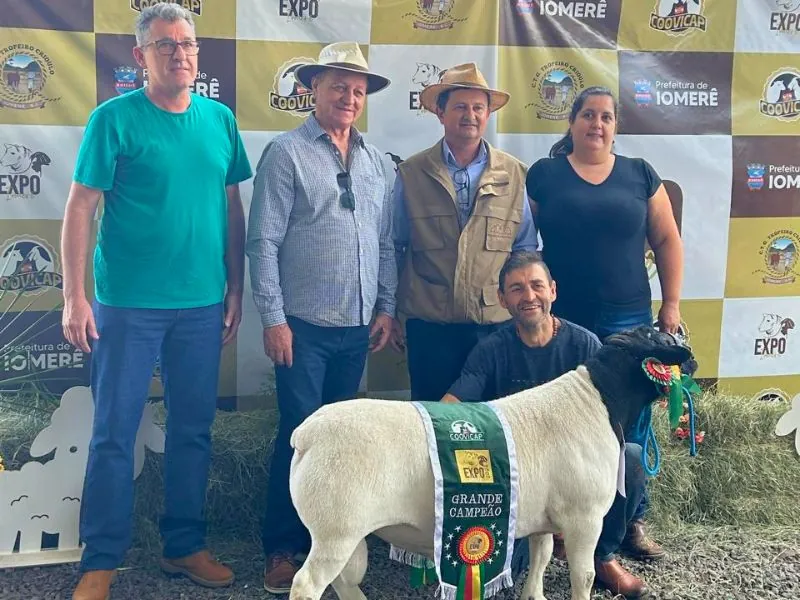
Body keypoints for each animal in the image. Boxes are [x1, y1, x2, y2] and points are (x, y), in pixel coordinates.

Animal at [286, 328, 692, 600]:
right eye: (655, 338)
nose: (688, 350)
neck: (596, 401)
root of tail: (306, 434)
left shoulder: (545, 518)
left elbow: (542, 557)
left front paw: (534, 595)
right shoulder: (584, 517)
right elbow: (584, 575)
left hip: (344, 531)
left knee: (343, 580)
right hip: (336, 530)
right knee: (308, 584)